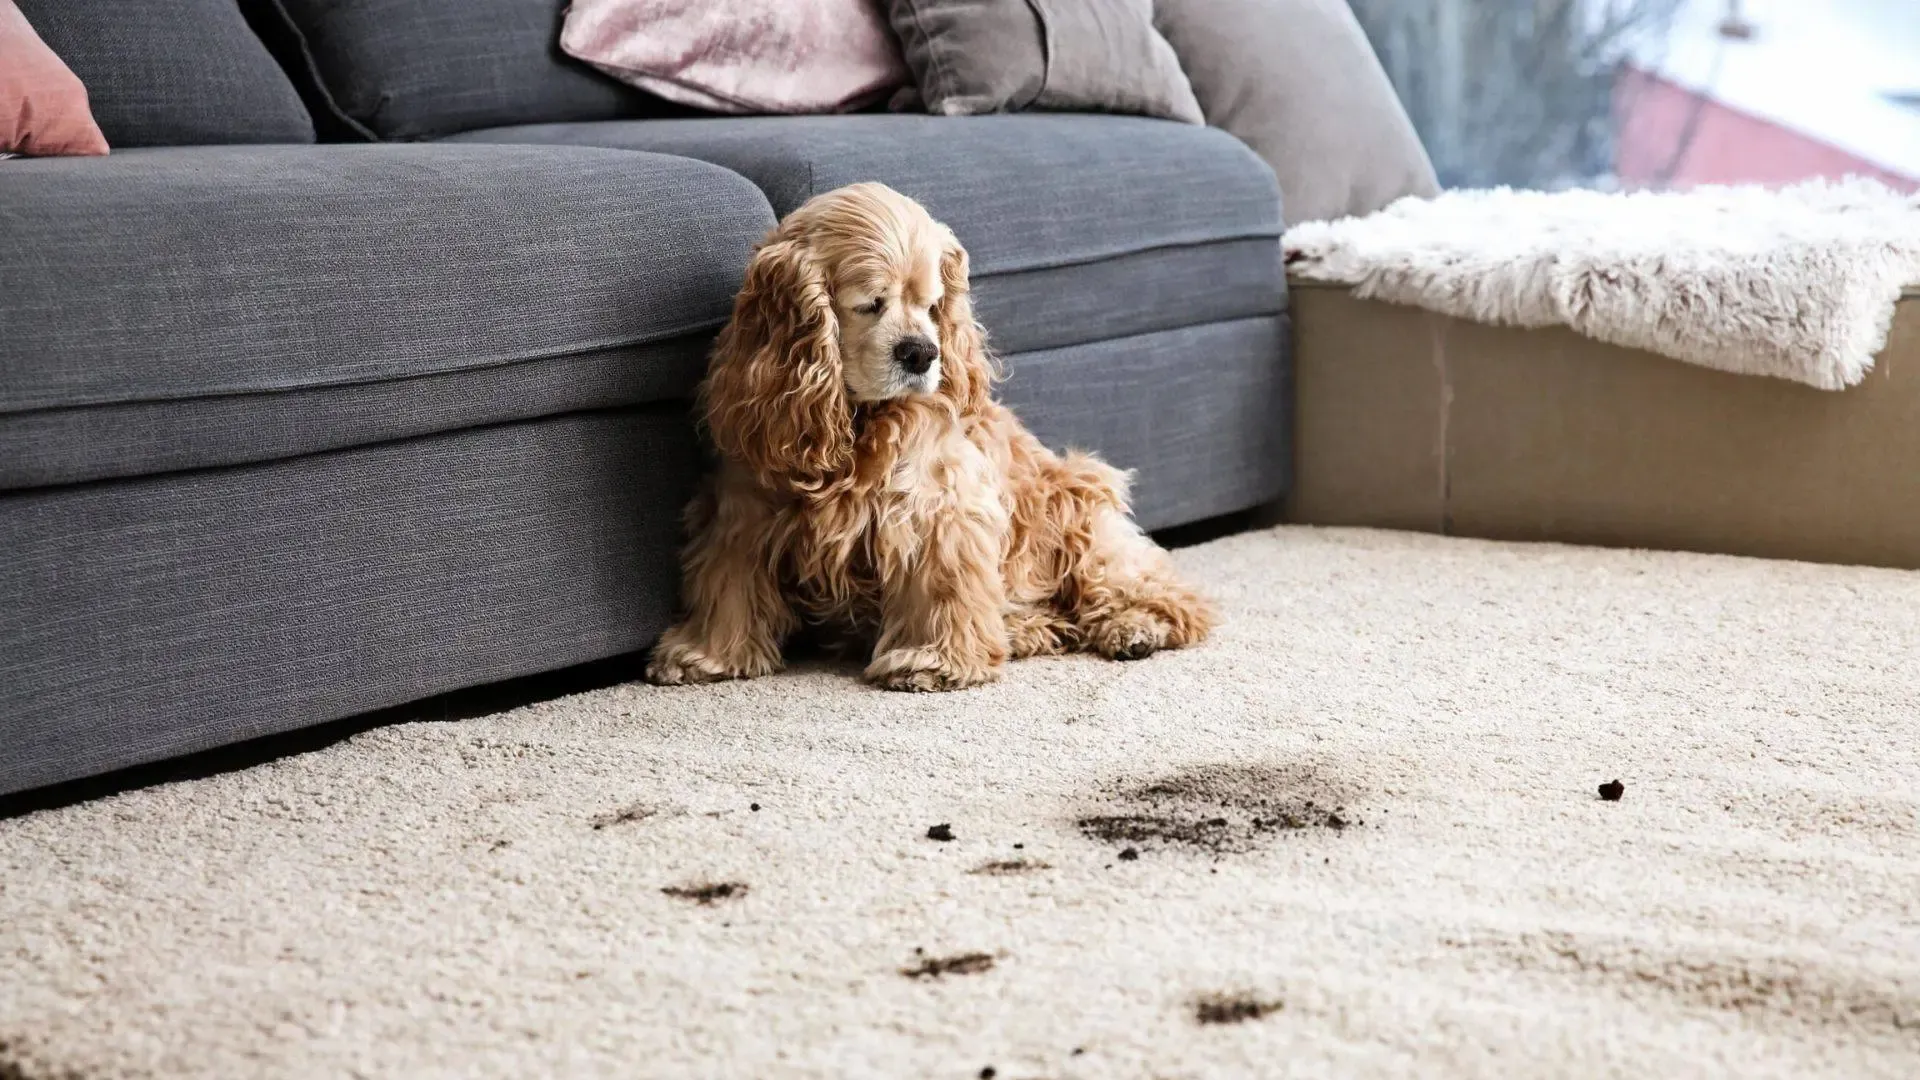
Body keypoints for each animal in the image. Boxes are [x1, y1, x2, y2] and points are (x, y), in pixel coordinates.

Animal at [652, 181, 1205, 687]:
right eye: (870, 303)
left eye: (932, 303)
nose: (921, 352)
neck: (857, 422)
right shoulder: (744, 506)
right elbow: (729, 583)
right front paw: (708, 655)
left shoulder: (938, 504)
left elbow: (941, 581)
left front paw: (934, 661)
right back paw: (1025, 629)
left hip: (1079, 511)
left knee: (1164, 593)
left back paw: (1136, 627)